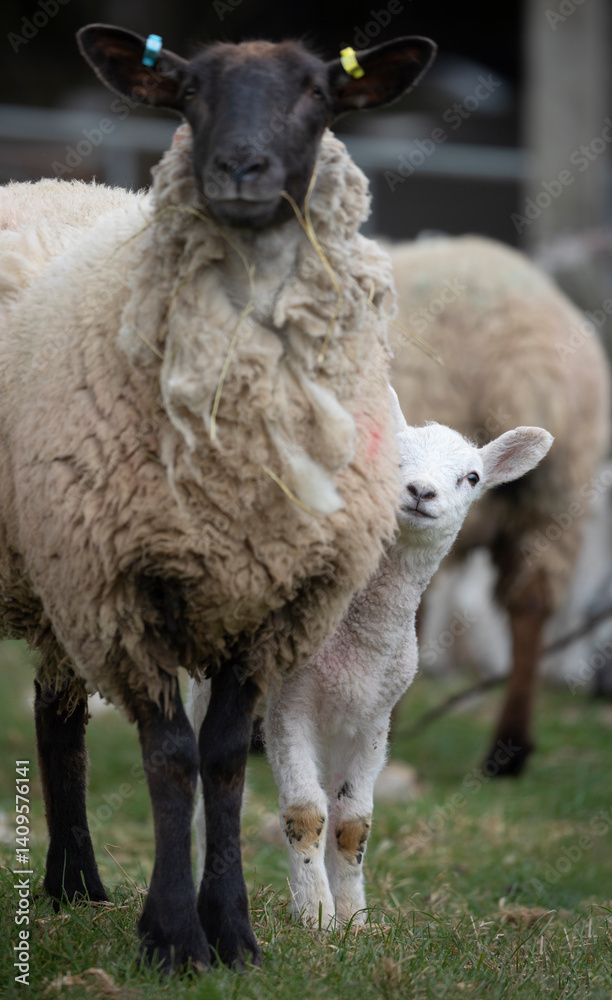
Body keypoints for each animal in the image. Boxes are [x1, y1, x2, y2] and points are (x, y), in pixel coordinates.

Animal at [0, 26, 438, 971]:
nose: (241, 166)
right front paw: (173, 937)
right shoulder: (121, 590)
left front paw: (231, 930)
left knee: (58, 716)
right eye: (191, 89)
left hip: (59, 584)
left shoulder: (276, 600)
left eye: (318, 91)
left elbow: (228, 760)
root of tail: (46, 183)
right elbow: (170, 759)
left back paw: (74, 884)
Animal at [201, 394, 550, 928]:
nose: (421, 491)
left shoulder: (373, 717)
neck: (357, 642)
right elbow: (305, 813)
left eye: (471, 477)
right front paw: (317, 917)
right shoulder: (290, 704)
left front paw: (353, 919)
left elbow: (353, 823)